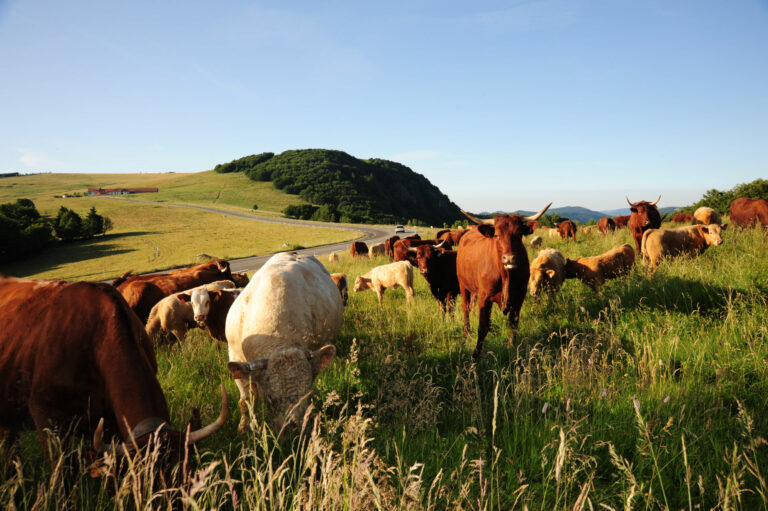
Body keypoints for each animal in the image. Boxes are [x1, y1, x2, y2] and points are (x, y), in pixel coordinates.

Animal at [222, 254, 342, 434]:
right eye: (270, 397)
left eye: (308, 393)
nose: (292, 428)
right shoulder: (235, 356)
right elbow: (246, 400)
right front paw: (243, 427)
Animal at [456, 202, 552, 358]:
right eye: (497, 235)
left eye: (519, 234)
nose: (509, 258)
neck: (506, 275)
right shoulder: (484, 298)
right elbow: (482, 328)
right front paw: (476, 355)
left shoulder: (519, 297)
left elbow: (513, 324)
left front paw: (513, 349)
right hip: (462, 285)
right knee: (465, 309)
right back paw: (466, 333)